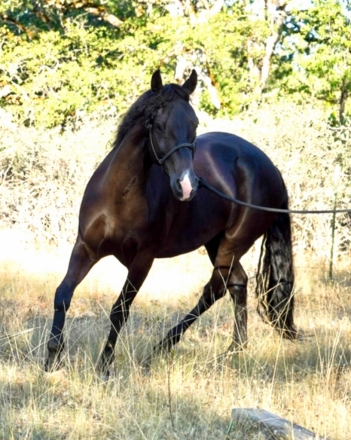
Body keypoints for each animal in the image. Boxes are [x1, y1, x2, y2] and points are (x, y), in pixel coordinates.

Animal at [45, 69, 298, 374]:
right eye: (158, 125)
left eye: (194, 124)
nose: (187, 186)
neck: (119, 195)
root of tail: (271, 169)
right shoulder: (85, 248)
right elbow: (63, 294)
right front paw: (52, 358)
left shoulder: (142, 260)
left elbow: (120, 310)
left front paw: (104, 365)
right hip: (215, 242)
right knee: (237, 283)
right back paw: (232, 351)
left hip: (233, 244)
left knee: (215, 289)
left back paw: (163, 346)